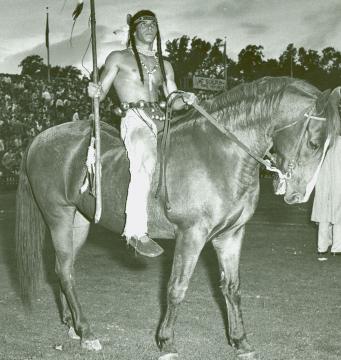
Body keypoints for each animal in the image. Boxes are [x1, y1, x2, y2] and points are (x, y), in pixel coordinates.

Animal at [15, 77, 340, 358]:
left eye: (330, 145)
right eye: (314, 142)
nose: (298, 194)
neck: (220, 154)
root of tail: (40, 138)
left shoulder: (231, 235)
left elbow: (231, 287)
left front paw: (240, 340)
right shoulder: (191, 235)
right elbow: (176, 288)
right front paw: (166, 341)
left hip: (79, 222)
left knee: (63, 268)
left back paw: (72, 324)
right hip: (58, 216)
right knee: (65, 271)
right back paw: (86, 331)